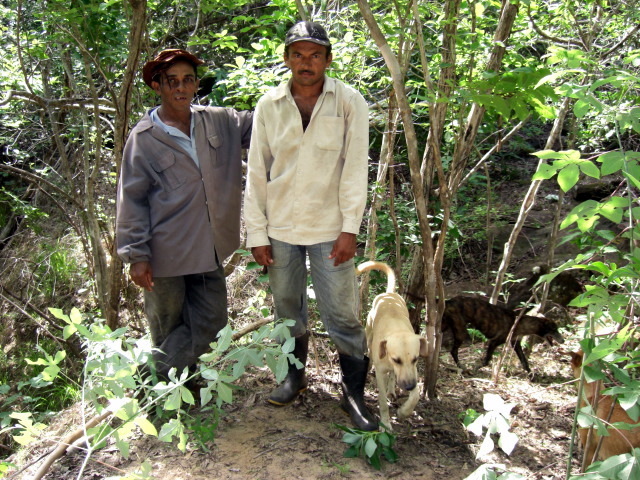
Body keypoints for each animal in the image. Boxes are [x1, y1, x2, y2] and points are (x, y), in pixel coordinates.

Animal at [358, 260, 428, 430]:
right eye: (397, 360)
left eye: (416, 359)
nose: (409, 386)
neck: (397, 329)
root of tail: (388, 293)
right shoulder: (381, 372)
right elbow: (382, 401)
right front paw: (385, 424)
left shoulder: (412, 371)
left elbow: (416, 395)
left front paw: (404, 411)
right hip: (368, 335)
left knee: (392, 376)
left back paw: (391, 389)